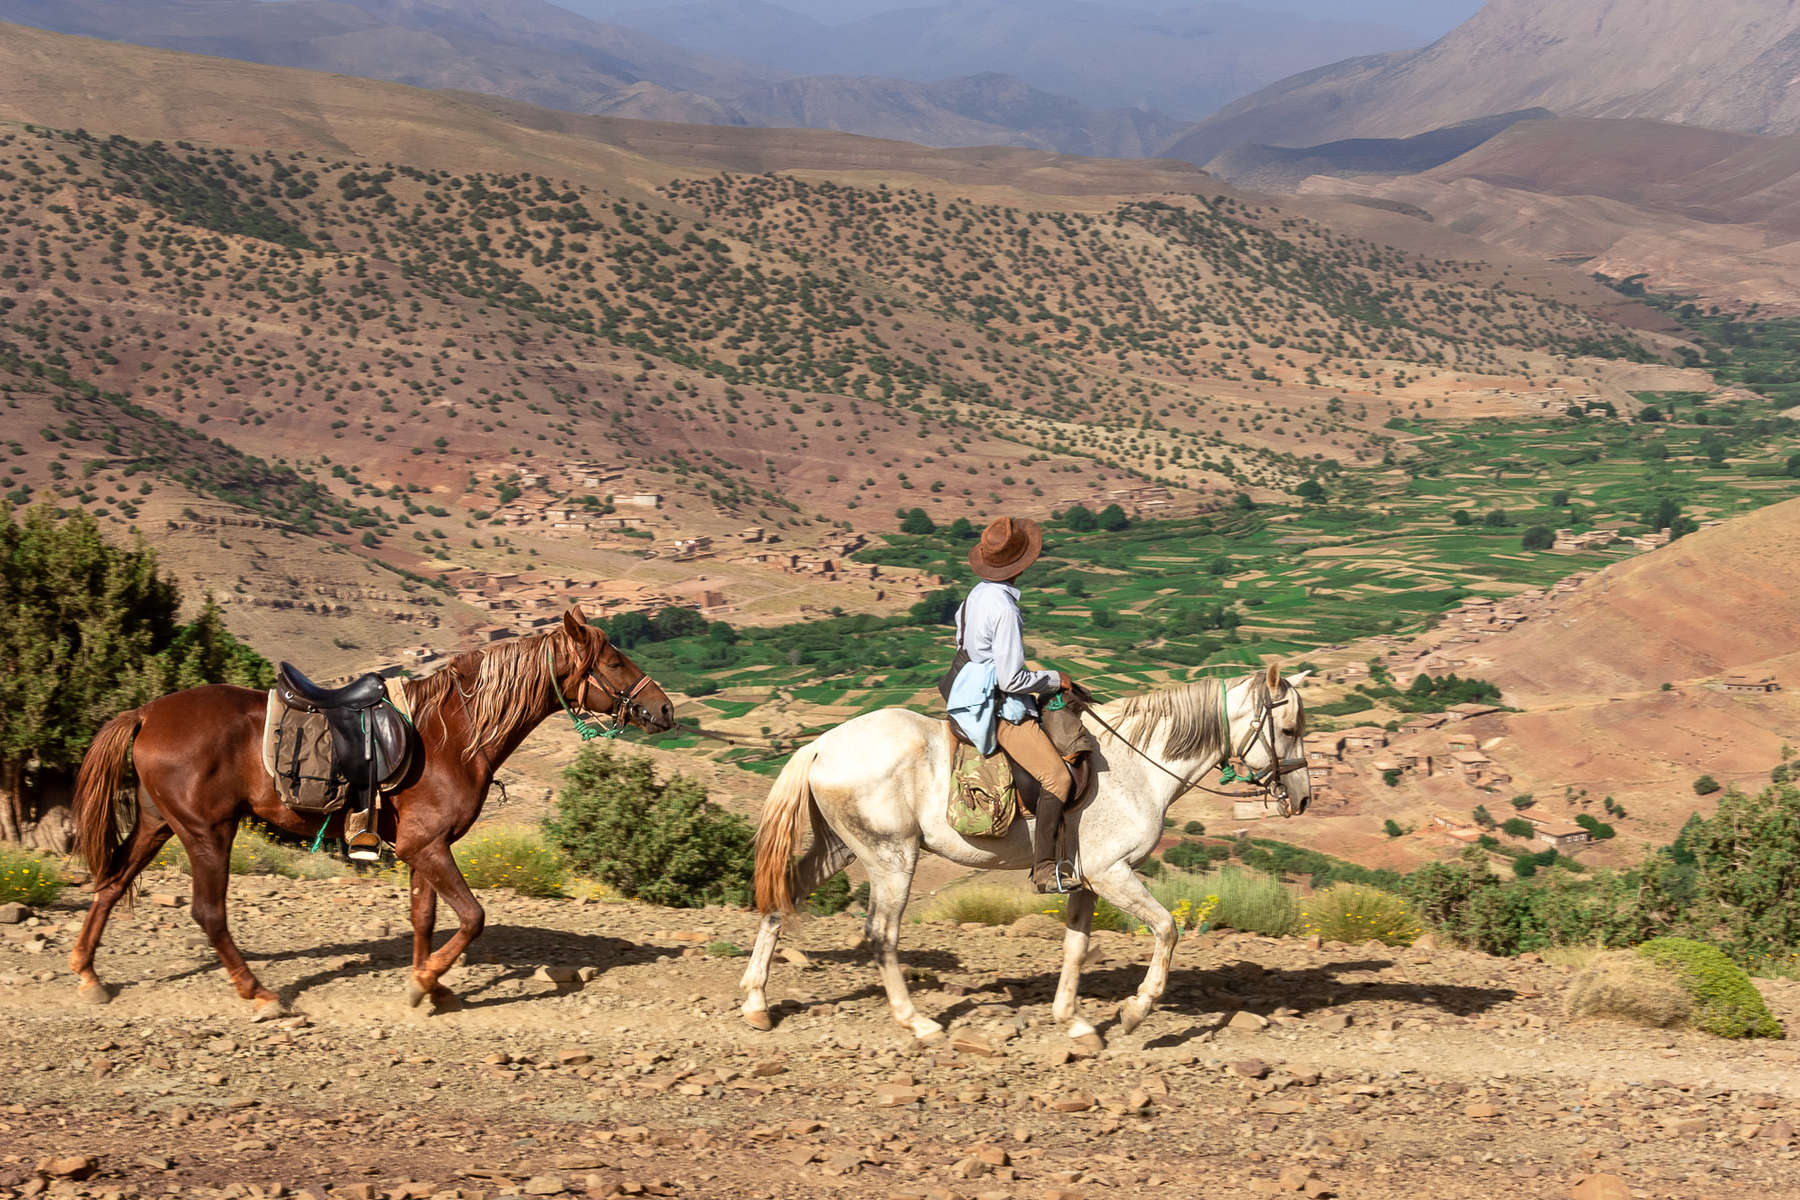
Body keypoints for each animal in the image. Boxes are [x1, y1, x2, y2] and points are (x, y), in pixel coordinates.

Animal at [66, 604, 676, 1021]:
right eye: (615, 660)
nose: (666, 709)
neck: (455, 734)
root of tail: (146, 713)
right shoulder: (425, 846)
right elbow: (473, 917)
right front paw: (425, 982)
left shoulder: (424, 849)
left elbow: (425, 917)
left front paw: (431, 986)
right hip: (206, 831)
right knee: (208, 914)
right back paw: (260, 994)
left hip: (158, 824)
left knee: (111, 884)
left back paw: (89, 976)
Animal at [738, 662, 1317, 1043]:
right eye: (1288, 729)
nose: (1304, 798)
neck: (1139, 764)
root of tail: (821, 745)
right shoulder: (1113, 874)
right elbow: (1167, 929)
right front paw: (1136, 1011)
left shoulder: (1084, 879)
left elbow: (1076, 948)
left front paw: (1074, 1022)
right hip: (891, 858)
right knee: (881, 934)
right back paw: (918, 1021)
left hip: (839, 849)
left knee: (780, 902)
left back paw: (756, 1003)